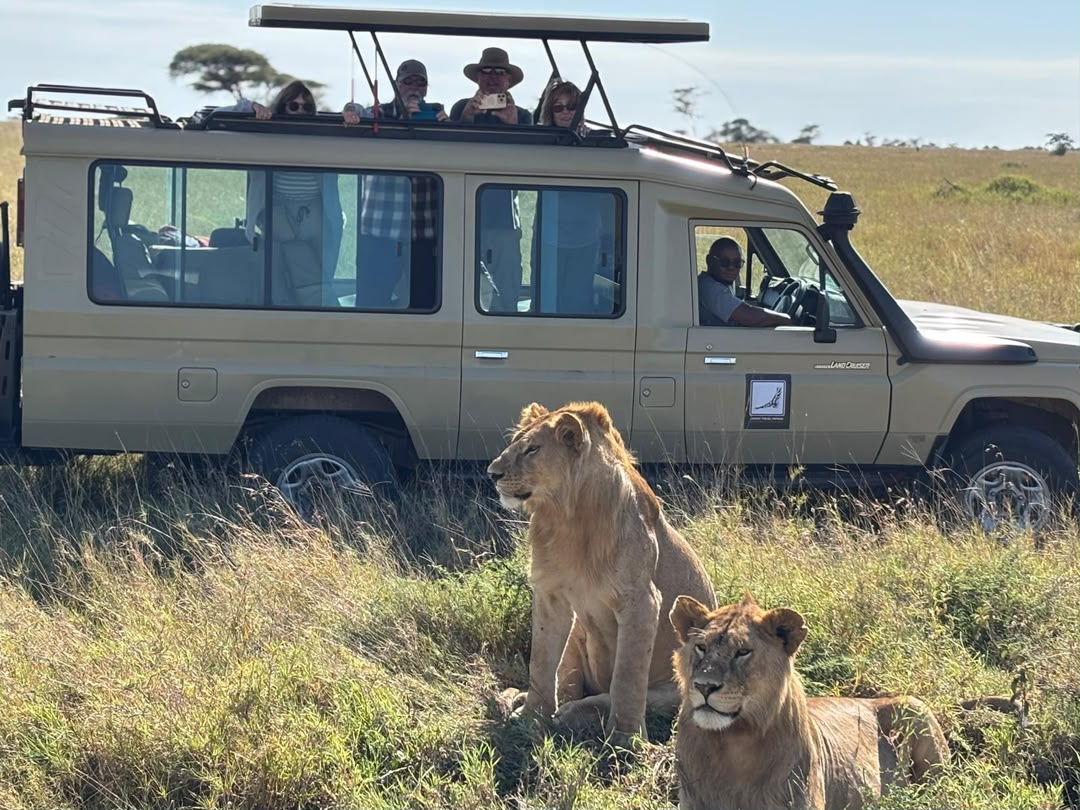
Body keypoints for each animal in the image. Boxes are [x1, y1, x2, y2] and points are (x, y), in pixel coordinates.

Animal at [487, 401, 717, 742]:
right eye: (514, 443)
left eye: (532, 449)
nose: (492, 473)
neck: (568, 516)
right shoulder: (550, 594)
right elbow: (541, 662)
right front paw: (531, 717)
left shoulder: (642, 601)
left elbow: (627, 677)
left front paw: (625, 737)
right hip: (577, 636)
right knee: (567, 681)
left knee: (614, 695)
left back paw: (573, 714)